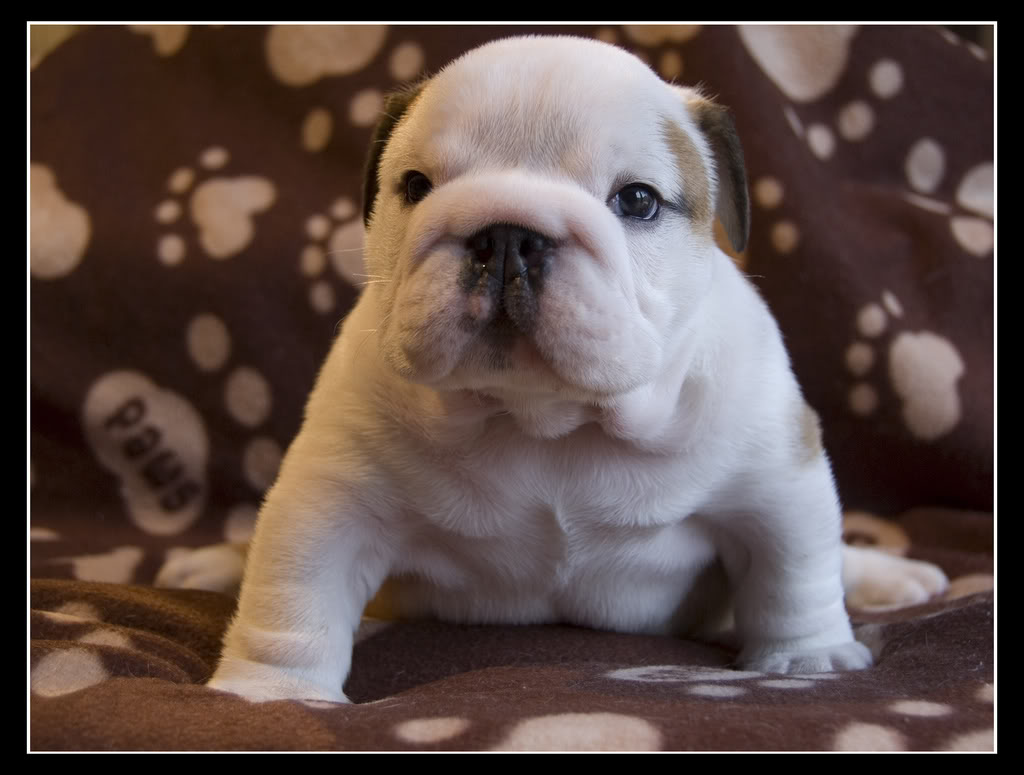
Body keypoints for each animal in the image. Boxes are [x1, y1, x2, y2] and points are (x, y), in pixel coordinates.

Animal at [157, 35, 948, 703]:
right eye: (413, 185)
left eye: (637, 200)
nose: (507, 234)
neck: (544, 419)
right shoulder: (333, 493)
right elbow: (293, 591)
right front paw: (273, 693)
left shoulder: (774, 473)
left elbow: (795, 566)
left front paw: (808, 657)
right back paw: (211, 565)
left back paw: (892, 576)